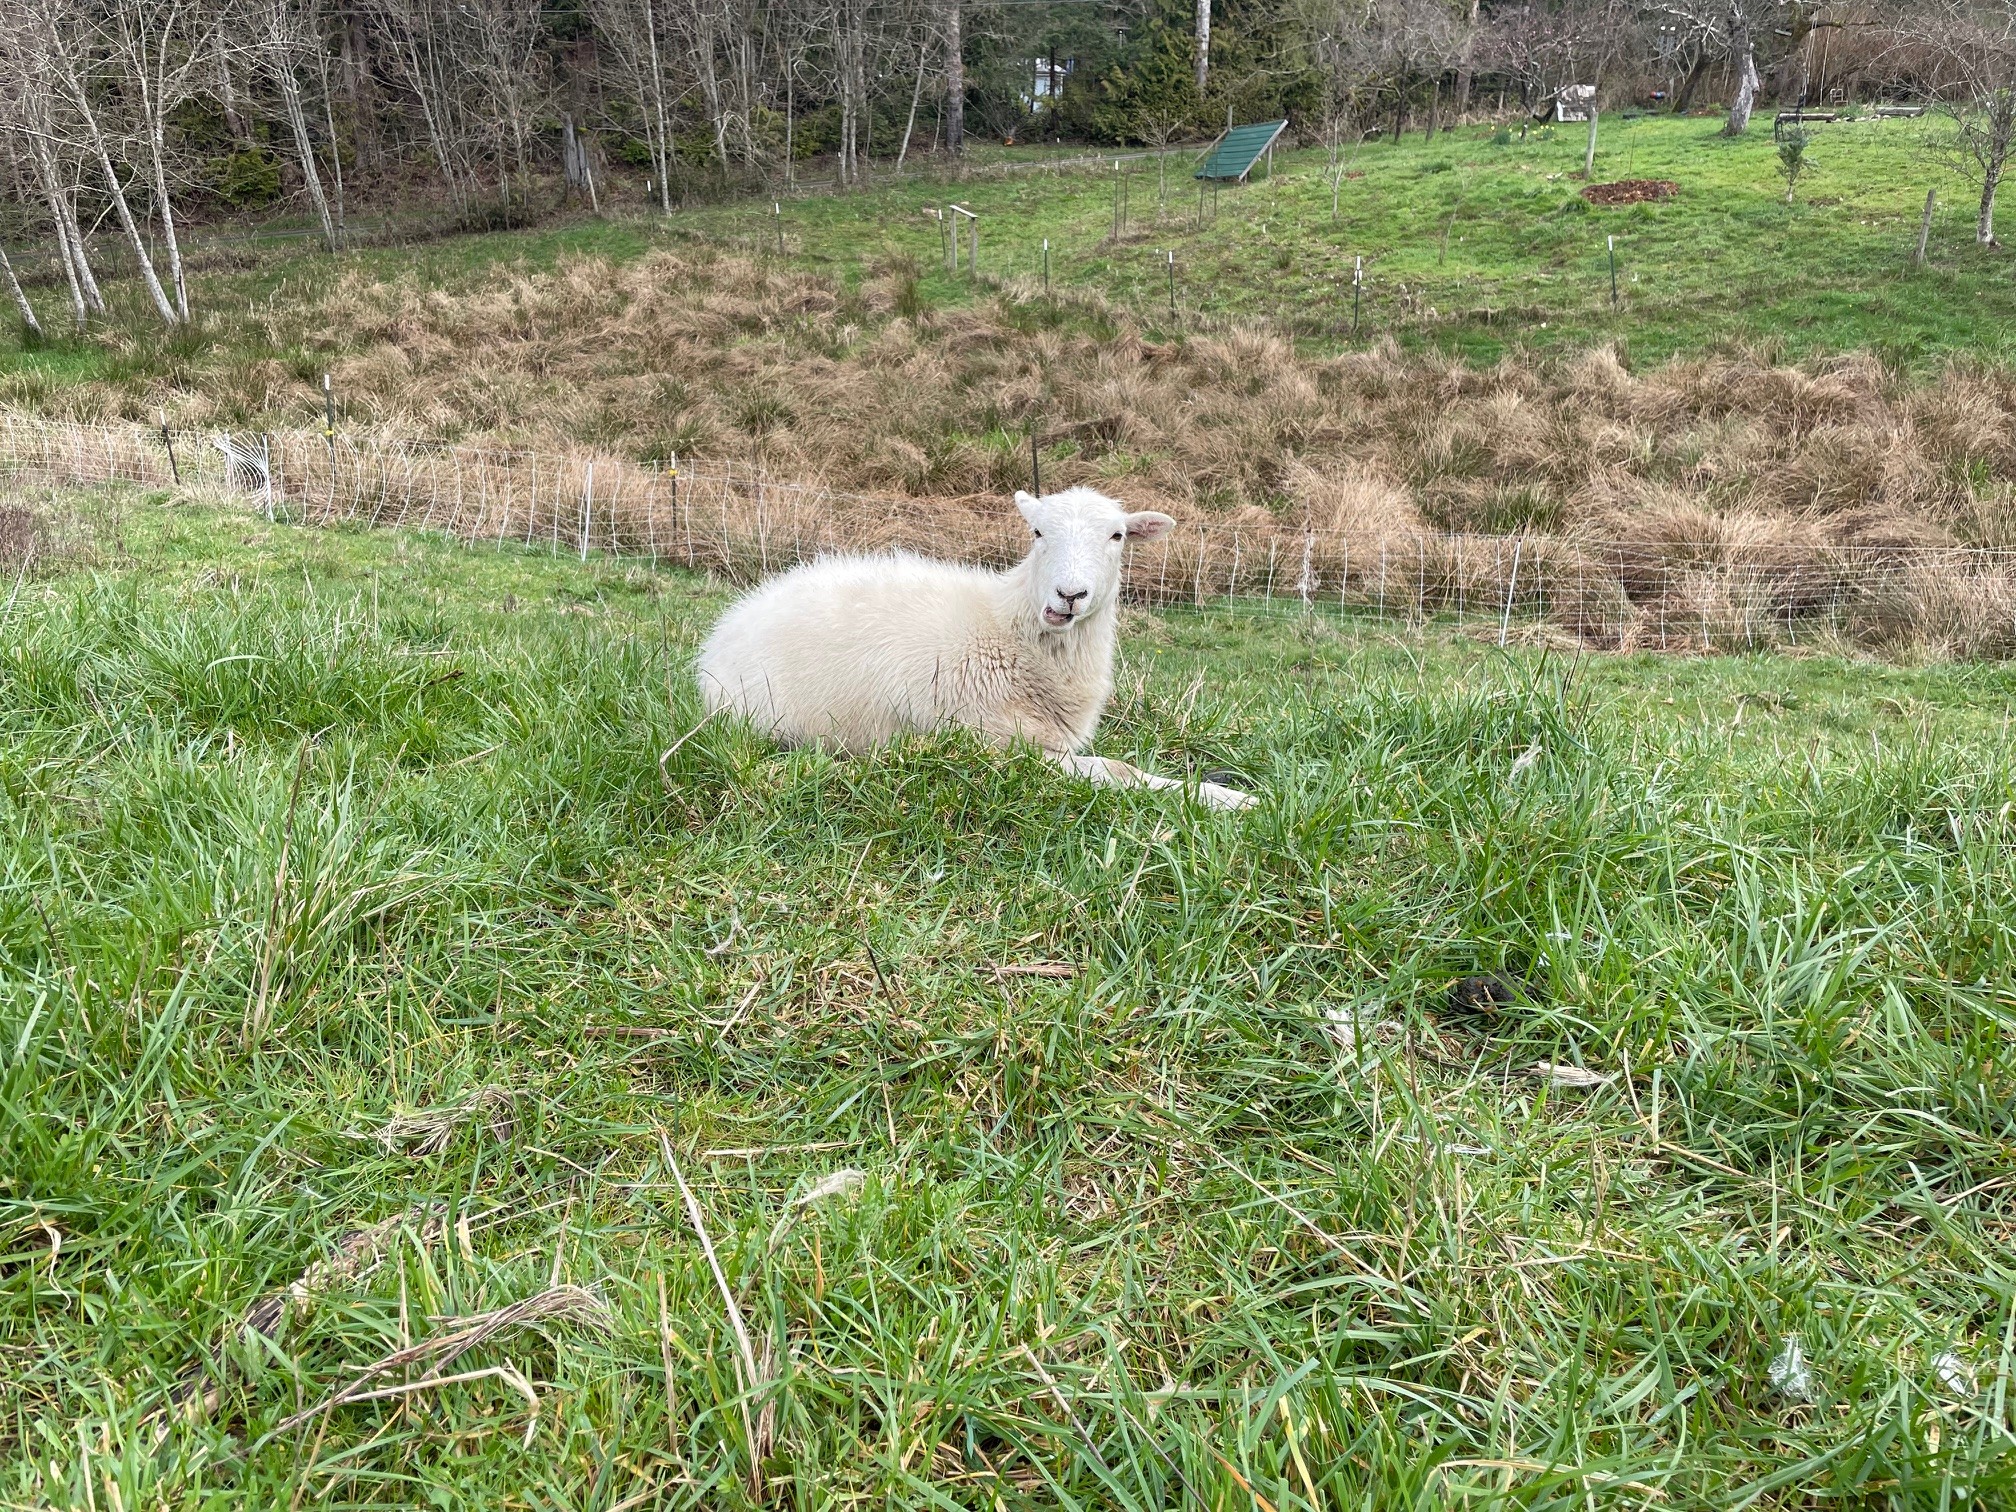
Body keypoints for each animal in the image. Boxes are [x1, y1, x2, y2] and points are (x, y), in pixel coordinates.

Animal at [695, 486, 1257, 810]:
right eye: (1037, 531)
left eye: (1118, 536)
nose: (1069, 595)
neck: (1007, 629)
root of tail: (722, 633)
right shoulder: (996, 744)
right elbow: (1120, 770)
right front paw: (1231, 800)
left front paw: (1226, 791)